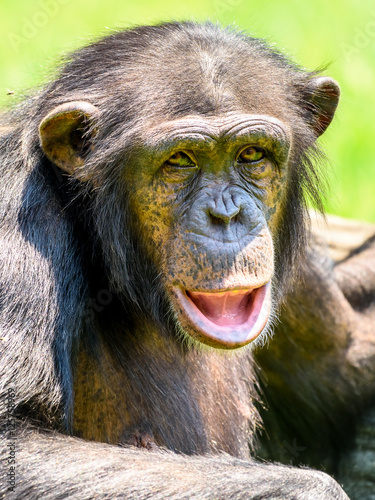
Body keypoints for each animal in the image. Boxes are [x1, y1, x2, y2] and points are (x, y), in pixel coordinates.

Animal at [0, 21, 374, 498]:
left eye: (252, 154)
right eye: (179, 160)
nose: (227, 215)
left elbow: (347, 360)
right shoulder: (19, 212)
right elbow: (15, 440)